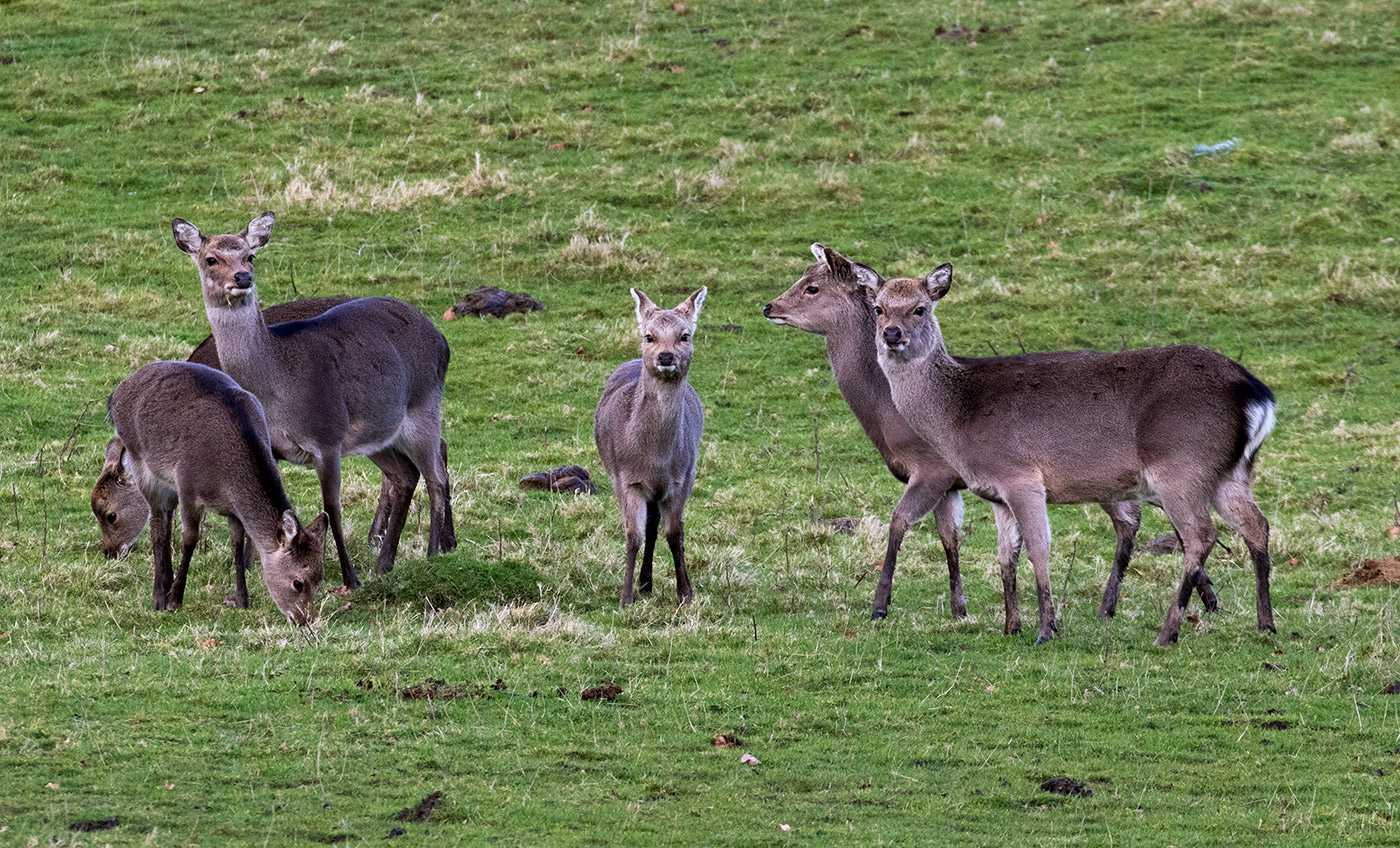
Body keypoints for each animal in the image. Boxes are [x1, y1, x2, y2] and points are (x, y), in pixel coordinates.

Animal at [107, 361, 328, 623]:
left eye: (320, 580)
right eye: (298, 583)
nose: (303, 620)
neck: (225, 478)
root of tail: (117, 392)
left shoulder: (232, 508)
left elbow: (237, 542)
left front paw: (242, 599)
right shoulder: (187, 486)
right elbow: (190, 538)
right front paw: (175, 600)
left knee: (166, 519)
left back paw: (167, 583)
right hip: (142, 464)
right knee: (157, 526)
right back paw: (159, 597)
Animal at [171, 211, 454, 589]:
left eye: (251, 255)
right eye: (211, 259)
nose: (243, 277)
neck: (277, 388)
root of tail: (441, 338)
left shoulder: (327, 437)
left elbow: (332, 509)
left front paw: (350, 579)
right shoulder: (269, 447)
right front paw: (253, 571)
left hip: (423, 406)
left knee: (435, 475)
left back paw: (434, 554)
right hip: (377, 432)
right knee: (406, 474)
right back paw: (385, 564)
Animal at [594, 288, 707, 608]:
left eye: (684, 335)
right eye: (649, 336)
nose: (665, 356)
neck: (654, 459)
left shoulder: (683, 478)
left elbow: (675, 533)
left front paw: (685, 593)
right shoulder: (625, 479)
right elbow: (633, 535)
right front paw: (625, 597)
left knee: (659, 526)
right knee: (649, 526)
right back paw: (644, 584)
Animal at [762, 244, 1215, 625]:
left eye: (812, 286)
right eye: (877, 308)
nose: (769, 306)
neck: (887, 416)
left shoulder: (933, 469)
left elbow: (899, 522)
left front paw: (880, 606)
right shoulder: (952, 484)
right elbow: (950, 538)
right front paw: (959, 609)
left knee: (1162, 521)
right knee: (1142, 521)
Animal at [872, 262, 1276, 645]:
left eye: (920, 308)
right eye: (878, 307)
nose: (892, 334)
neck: (959, 418)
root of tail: (1259, 396)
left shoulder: (1021, 475)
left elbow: (1039, 548)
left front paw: (1046, 629)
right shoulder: (996, 493)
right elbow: (1005, 557)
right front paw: (1011, 627)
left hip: (1182, 467)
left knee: (1201, 536)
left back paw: (1168, 632)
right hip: (1231, 472)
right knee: (1256, 524)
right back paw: (1266, 624)